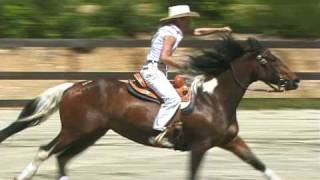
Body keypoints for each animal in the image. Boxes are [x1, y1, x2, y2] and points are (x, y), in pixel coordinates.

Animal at [0, 35, 300, 180]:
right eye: (270, 59)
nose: (295, 80)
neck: (214, 99)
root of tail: (75, 86)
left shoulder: (231, 141)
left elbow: (259, 164)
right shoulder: (200, 146)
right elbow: (193, 175)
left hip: (91, 134)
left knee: (62, 159)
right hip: (74, 131)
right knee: (44, 151)